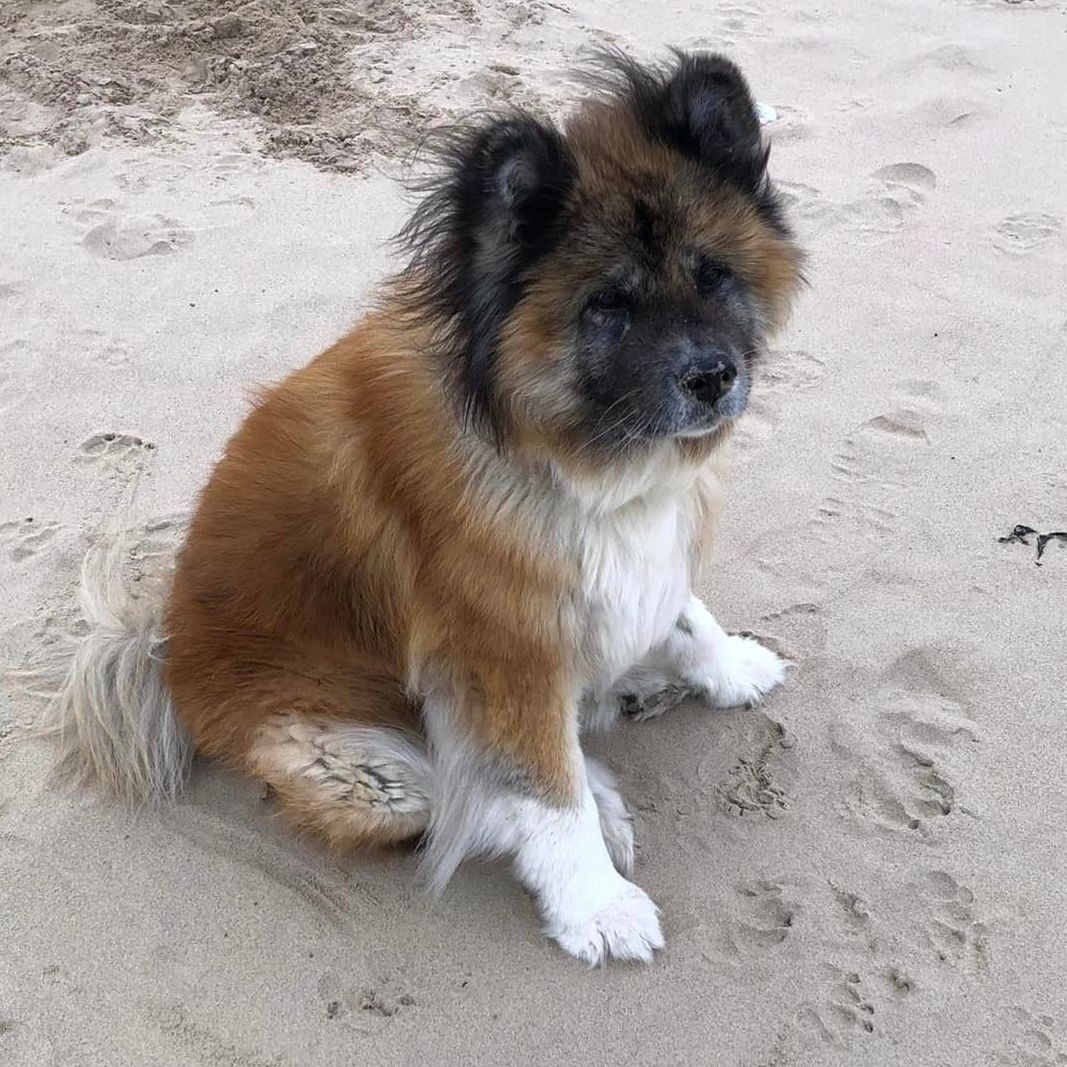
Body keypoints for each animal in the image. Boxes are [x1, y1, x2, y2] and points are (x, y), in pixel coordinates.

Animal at [36, 50, 804, 964]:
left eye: (713, 273)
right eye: (607, 307)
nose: (712, 376)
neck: (553, 449)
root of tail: (159, 650)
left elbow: (684, 610)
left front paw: (726, 667)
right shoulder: (505, 654)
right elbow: (546, 796)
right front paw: (595, 906)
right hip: (357, 766)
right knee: (457, 798)